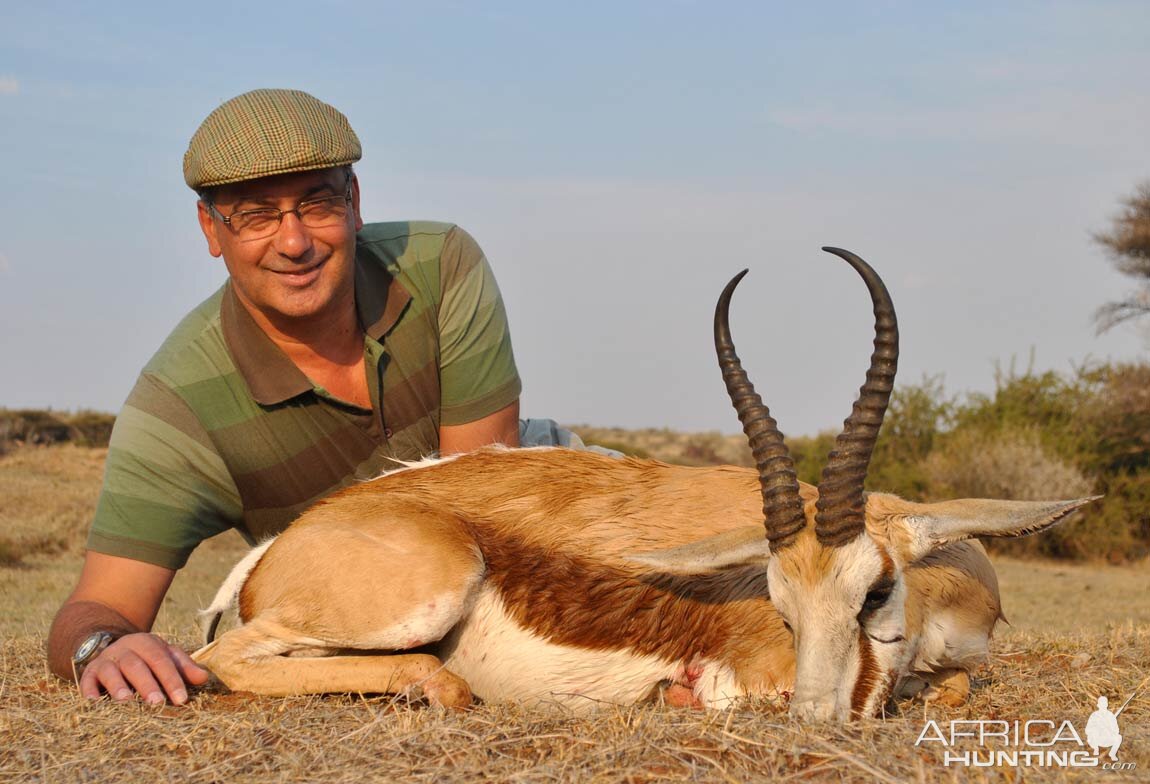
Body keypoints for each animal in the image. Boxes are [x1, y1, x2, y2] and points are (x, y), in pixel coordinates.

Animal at [193, 247, 1090, 717]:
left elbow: (956, 685)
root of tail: (285, 543)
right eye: (779, 604)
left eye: (876, 591)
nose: (811, 719)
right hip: (428, 590)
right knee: (223, 660)